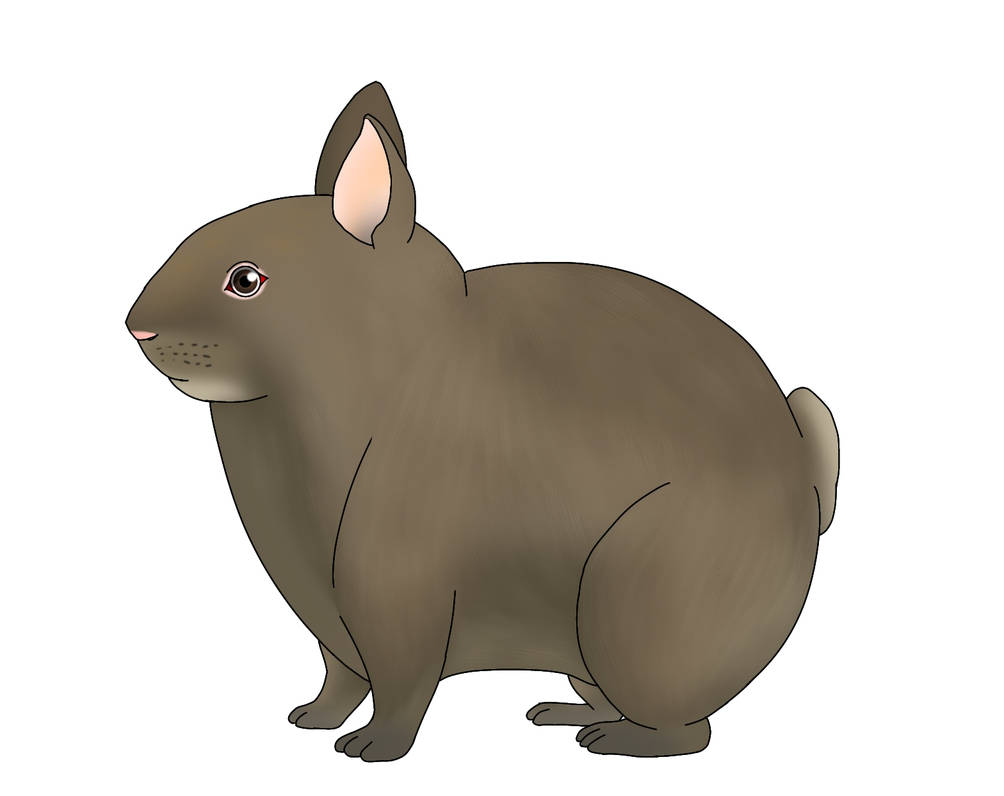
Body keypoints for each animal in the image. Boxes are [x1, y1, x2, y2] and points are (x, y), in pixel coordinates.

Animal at [126, 81, 839, 761]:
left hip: (636, 610)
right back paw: (564, 713)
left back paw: (616, 740)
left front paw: (372, 749)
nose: (138, 327)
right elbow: (339, 676)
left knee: (689, 732)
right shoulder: (328, 614)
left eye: (246, 280)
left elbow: (401, 684)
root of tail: (807, 471)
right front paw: (313, 719)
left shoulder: (396, 591)